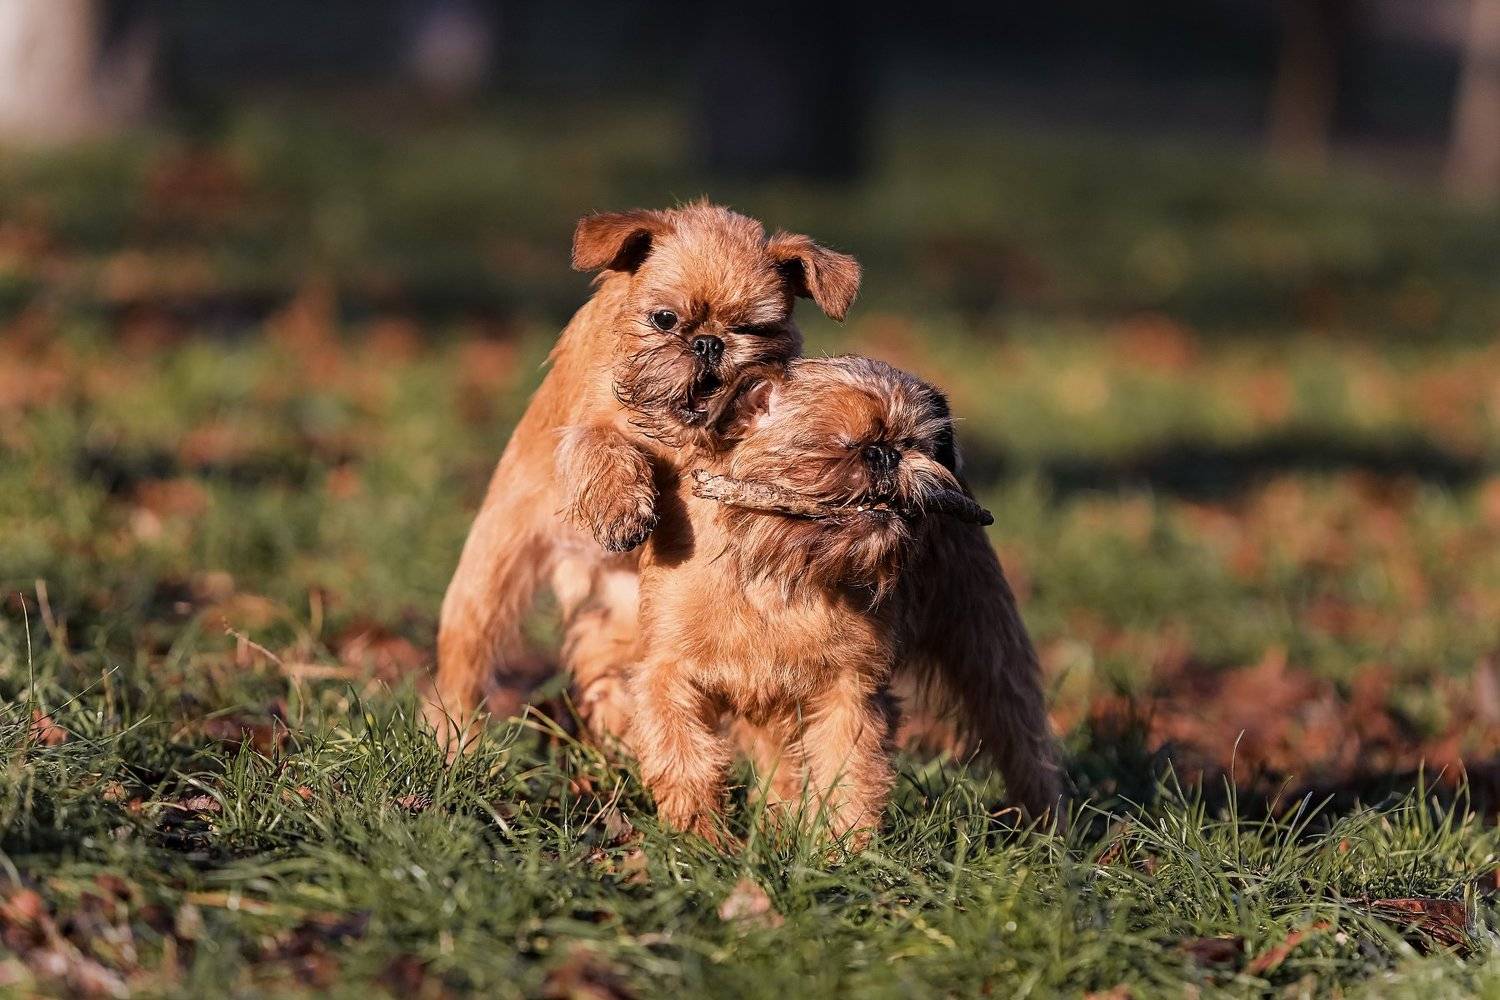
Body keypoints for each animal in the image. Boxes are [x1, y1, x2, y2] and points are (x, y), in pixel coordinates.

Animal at [428, 201, 860, 750]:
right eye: (665, 319)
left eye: (754, 329)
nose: (709, 343)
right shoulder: (587, 427)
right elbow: (605, 447)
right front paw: (622, 508)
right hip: (488, 579)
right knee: (464, 664)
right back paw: (453, 737)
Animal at [629, 356, 998, 845]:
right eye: (836, 443)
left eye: (912, 444)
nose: (885, 453)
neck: (778, 570)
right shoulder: (667, 674)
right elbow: (683, 754)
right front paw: (699, 838)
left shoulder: (850, 693)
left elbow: (849, 773)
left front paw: (843, 849)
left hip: (987, 640)